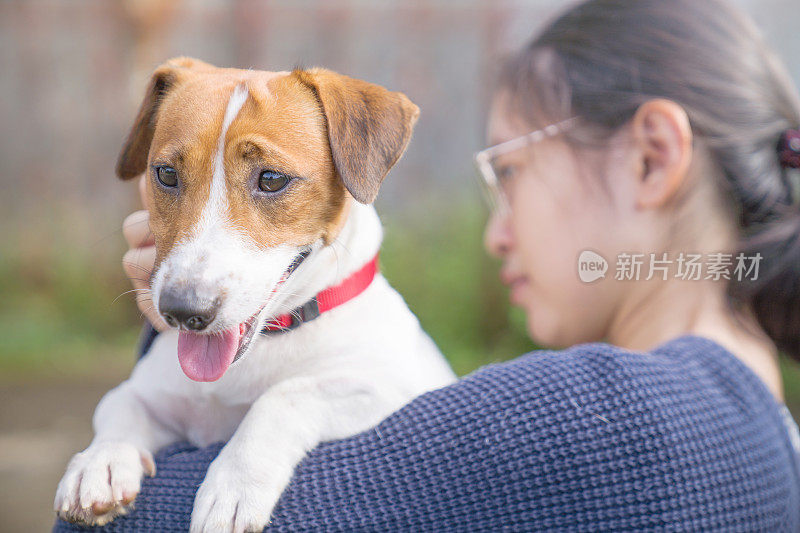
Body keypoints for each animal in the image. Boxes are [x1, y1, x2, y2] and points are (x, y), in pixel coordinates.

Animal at [53, 56, 456, 528]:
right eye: (166, 174)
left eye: (272, 179)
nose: (182, 312)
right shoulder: (151, 393)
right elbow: (118, 404)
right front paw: (100, 462)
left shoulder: (387, 387)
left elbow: (282, 396)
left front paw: (233, 485)